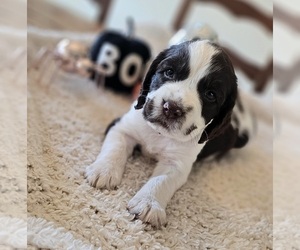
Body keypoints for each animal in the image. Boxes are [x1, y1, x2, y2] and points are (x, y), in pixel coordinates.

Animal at [85, 39, 253, 229]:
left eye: (210, 95)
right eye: (169, 72)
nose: (171, 108)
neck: (160, 133)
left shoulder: (178, 163)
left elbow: (162, 180)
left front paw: (149, 203)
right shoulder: (122, 127)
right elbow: (116, 147)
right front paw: (103, 171)